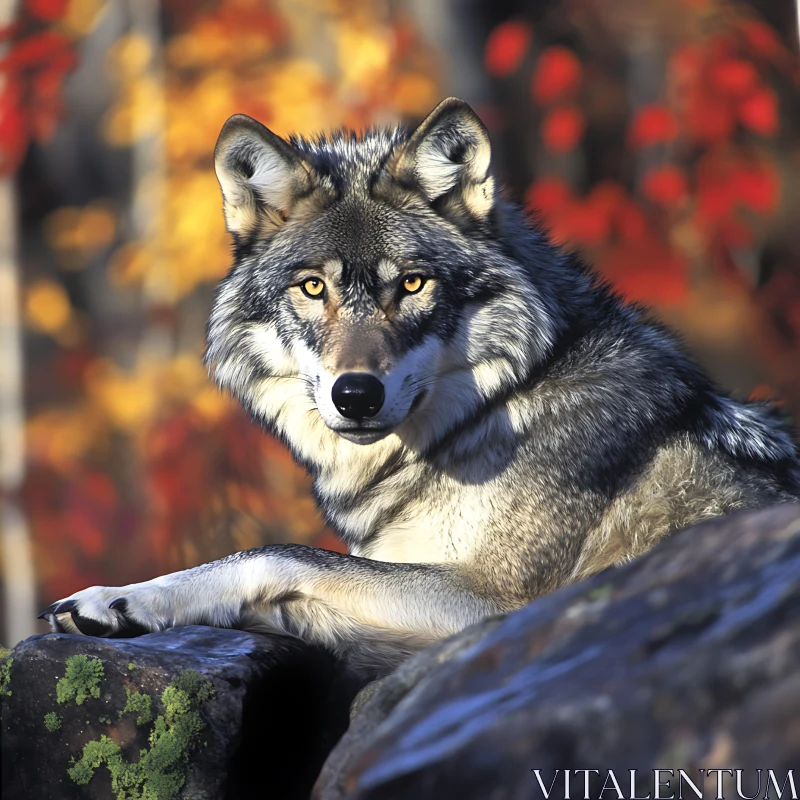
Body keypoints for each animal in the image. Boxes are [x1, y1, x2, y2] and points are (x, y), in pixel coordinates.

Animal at [39, 98, 800, 676]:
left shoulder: (494, 603)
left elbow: (279, 551)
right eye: (312, 288)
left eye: (410, 284)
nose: (355, 395)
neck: (492, 412)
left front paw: (121, 598)